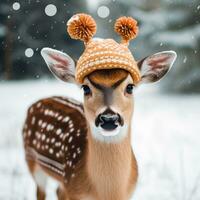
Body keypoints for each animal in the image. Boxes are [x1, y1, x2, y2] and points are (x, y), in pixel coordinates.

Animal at [22, 13, 177, 199]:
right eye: (85, 88)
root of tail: (40, 101)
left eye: (130, 87)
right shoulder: (73, 189)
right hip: (32, 160)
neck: (108, 191)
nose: (109, 119)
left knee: (58, 190)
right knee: (41, 191)